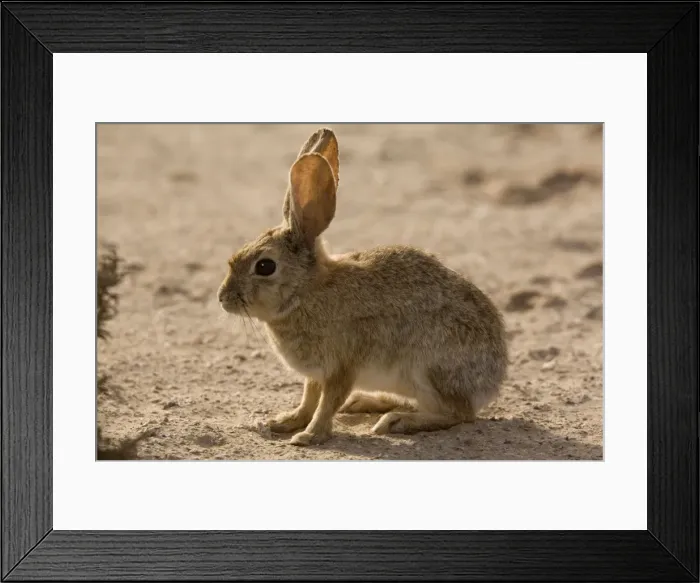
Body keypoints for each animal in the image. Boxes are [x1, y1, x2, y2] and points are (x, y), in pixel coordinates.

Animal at [218, 128, 508, 446]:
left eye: (265, 266)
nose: (223, 298)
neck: (306, 291)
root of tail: (492, 380)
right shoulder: (316, 372)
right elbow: (309, 397)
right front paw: (286, 421)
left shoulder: (343, 365)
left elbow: (328, 402)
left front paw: (309, 436)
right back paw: (366, 402)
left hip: (428, 369)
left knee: (458, 413)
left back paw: (396, 421)